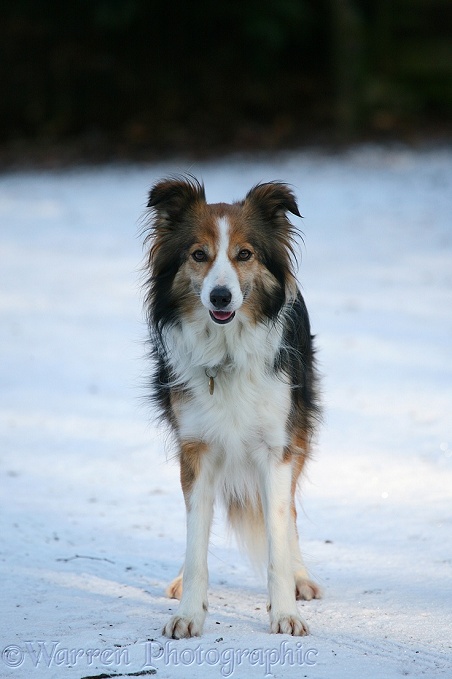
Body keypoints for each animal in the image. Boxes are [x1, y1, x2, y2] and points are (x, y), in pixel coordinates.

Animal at [142, 174, 322, 636]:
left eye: (245, 254)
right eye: (198, 255)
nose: (221, 297)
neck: (225, 352)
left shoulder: (274, 448)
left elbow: (278, 534)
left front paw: (285, 613)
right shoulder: (196, 448)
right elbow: (196, 539)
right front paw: (188, 613)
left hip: (298, 433)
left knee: (290, 514)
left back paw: (300, 577)